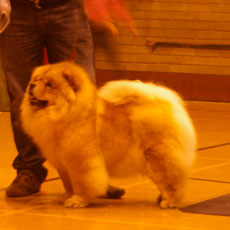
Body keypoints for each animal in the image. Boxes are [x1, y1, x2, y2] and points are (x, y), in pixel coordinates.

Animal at [20, 61, 196, 208]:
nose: (31, 85)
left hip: (157, 159)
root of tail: (164, 104)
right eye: (36, 79)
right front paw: (66, 196)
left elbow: (82, 183)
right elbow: (68, 183)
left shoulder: (81, 161)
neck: (66, 114)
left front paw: (77, 201)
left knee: (172, 182)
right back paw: (162, 198)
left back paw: (169, 201)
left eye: (49, 85)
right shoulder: (62, 164)